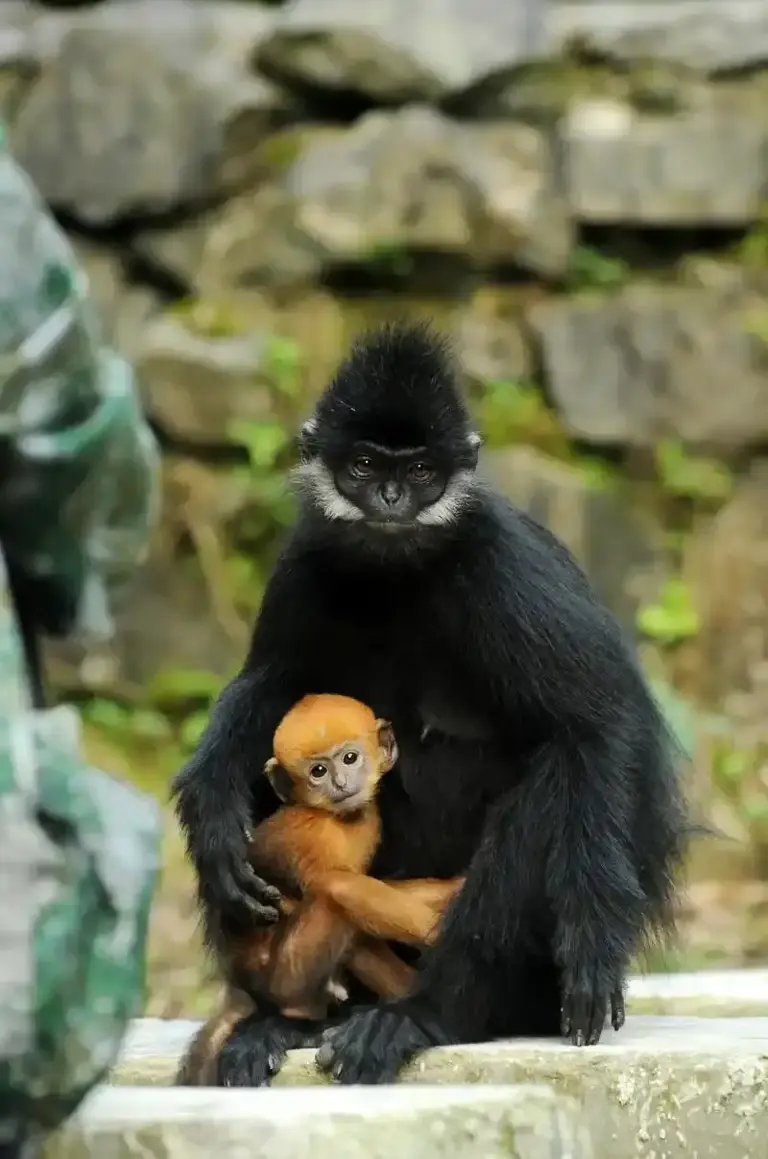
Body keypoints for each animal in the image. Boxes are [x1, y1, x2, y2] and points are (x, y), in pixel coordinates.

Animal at [173, 324, 690, 1084]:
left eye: (419, 472)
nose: (390, 496)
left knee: (551, 787)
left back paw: (422, 1014)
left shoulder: (501, 559)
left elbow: (594, 722)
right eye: (364, 464)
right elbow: (273, 683)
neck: (400, 572)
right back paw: (285, 1019)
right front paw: (211, 807)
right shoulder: (308, 553)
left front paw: (591, 948)